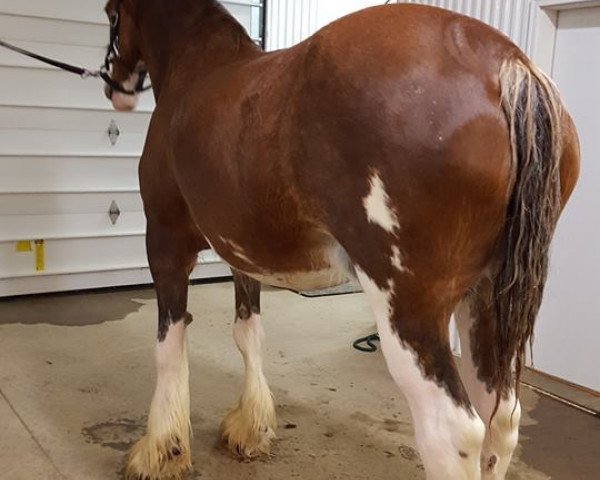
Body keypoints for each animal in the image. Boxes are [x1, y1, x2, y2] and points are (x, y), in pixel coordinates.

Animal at [101, 0, 580, 480]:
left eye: (110, 14)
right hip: (485, 301)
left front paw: (161, 450)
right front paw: (251, 428)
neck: (198, 67)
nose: (114, 85)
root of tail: (505, 63)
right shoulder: (242, 253)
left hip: (409, 310)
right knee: (501, 416)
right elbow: (248, 333)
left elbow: (169, 344)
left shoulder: (164, 242)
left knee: (452, 432)